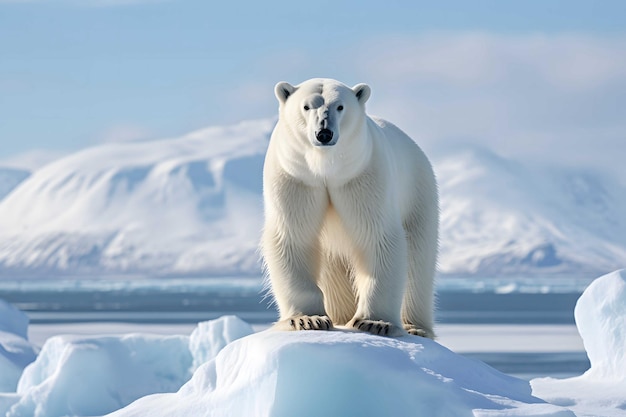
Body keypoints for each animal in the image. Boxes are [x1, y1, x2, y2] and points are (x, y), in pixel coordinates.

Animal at [260, 79, 436, 338]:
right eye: (306, 106)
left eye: (340, 106)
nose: (324, 133)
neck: (326, 167)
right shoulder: (297, 177)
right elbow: (293, 237)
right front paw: (307, 319)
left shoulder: (363, 176)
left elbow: (378, 237)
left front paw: (375, 322)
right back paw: (340, 316)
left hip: (418, 194)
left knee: (418, 262)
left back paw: (414, 327)